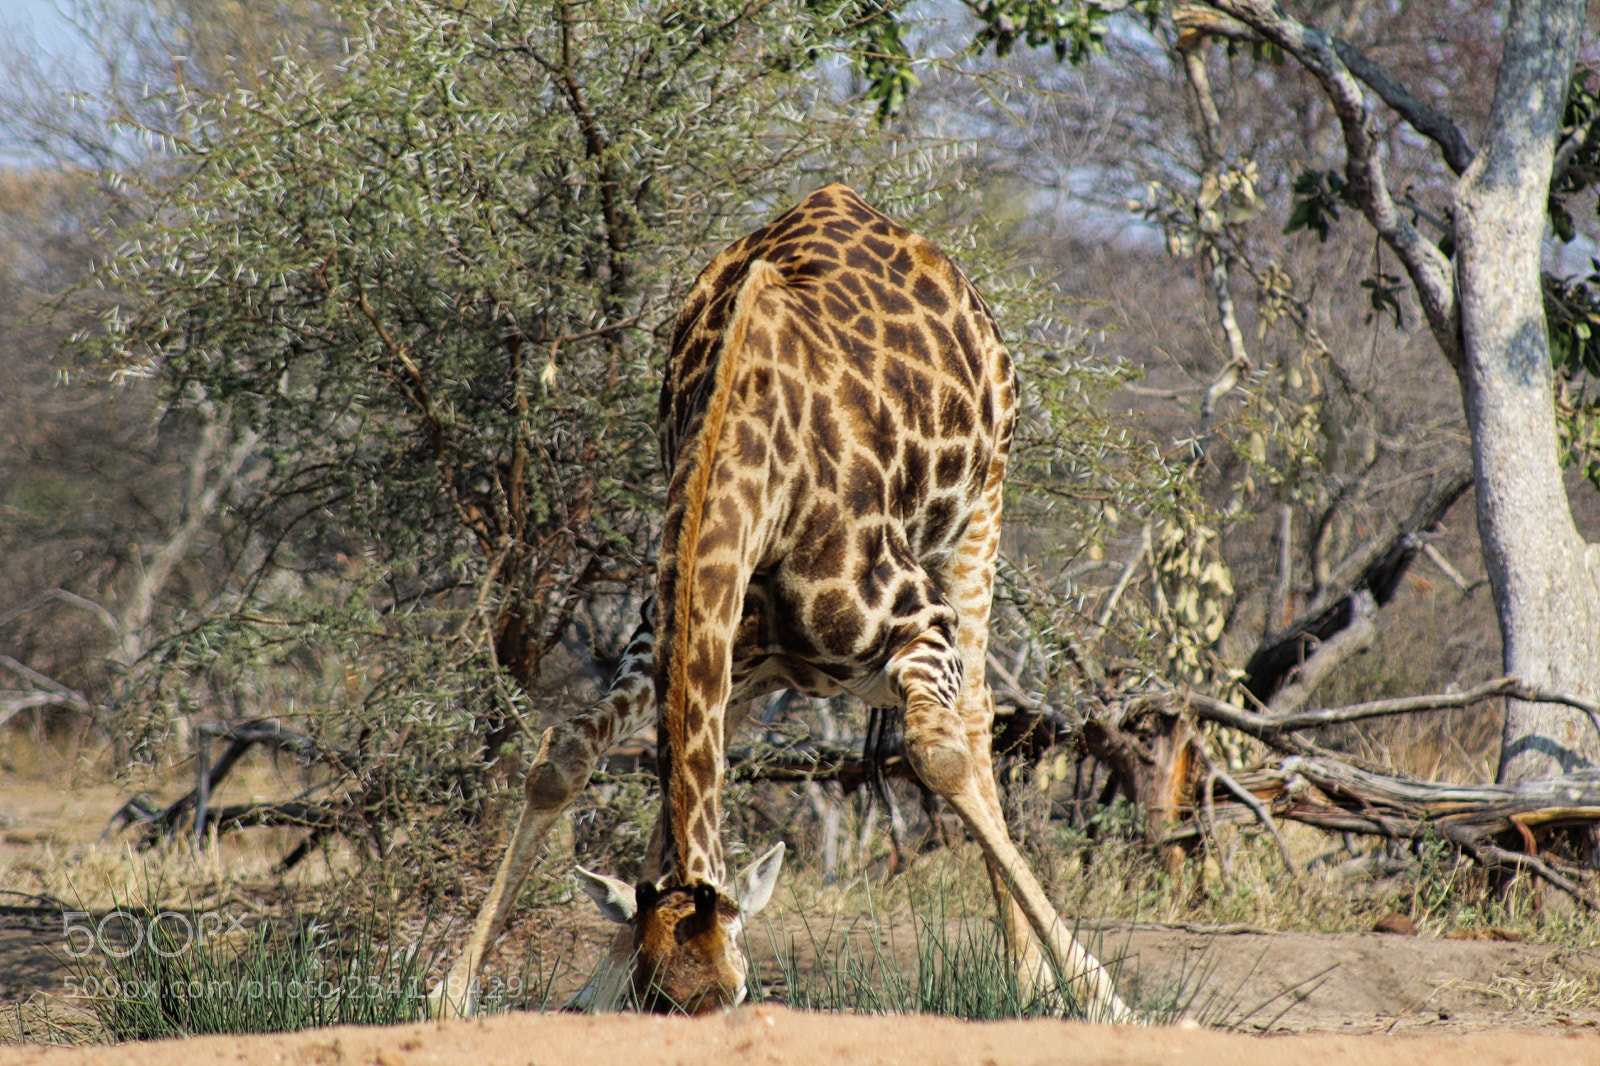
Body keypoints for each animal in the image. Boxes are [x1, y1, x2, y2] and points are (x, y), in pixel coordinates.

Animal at [432, 184, 1132, 1022]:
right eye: (660, 1002)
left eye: (736, 996)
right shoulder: (666, 631)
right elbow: (563, 754)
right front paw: (475, 988)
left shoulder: (916, 626)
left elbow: (937, 752)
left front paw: (1099, 994)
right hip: (751, 657)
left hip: (981, 508)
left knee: (974, 714)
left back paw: (1032, 976)